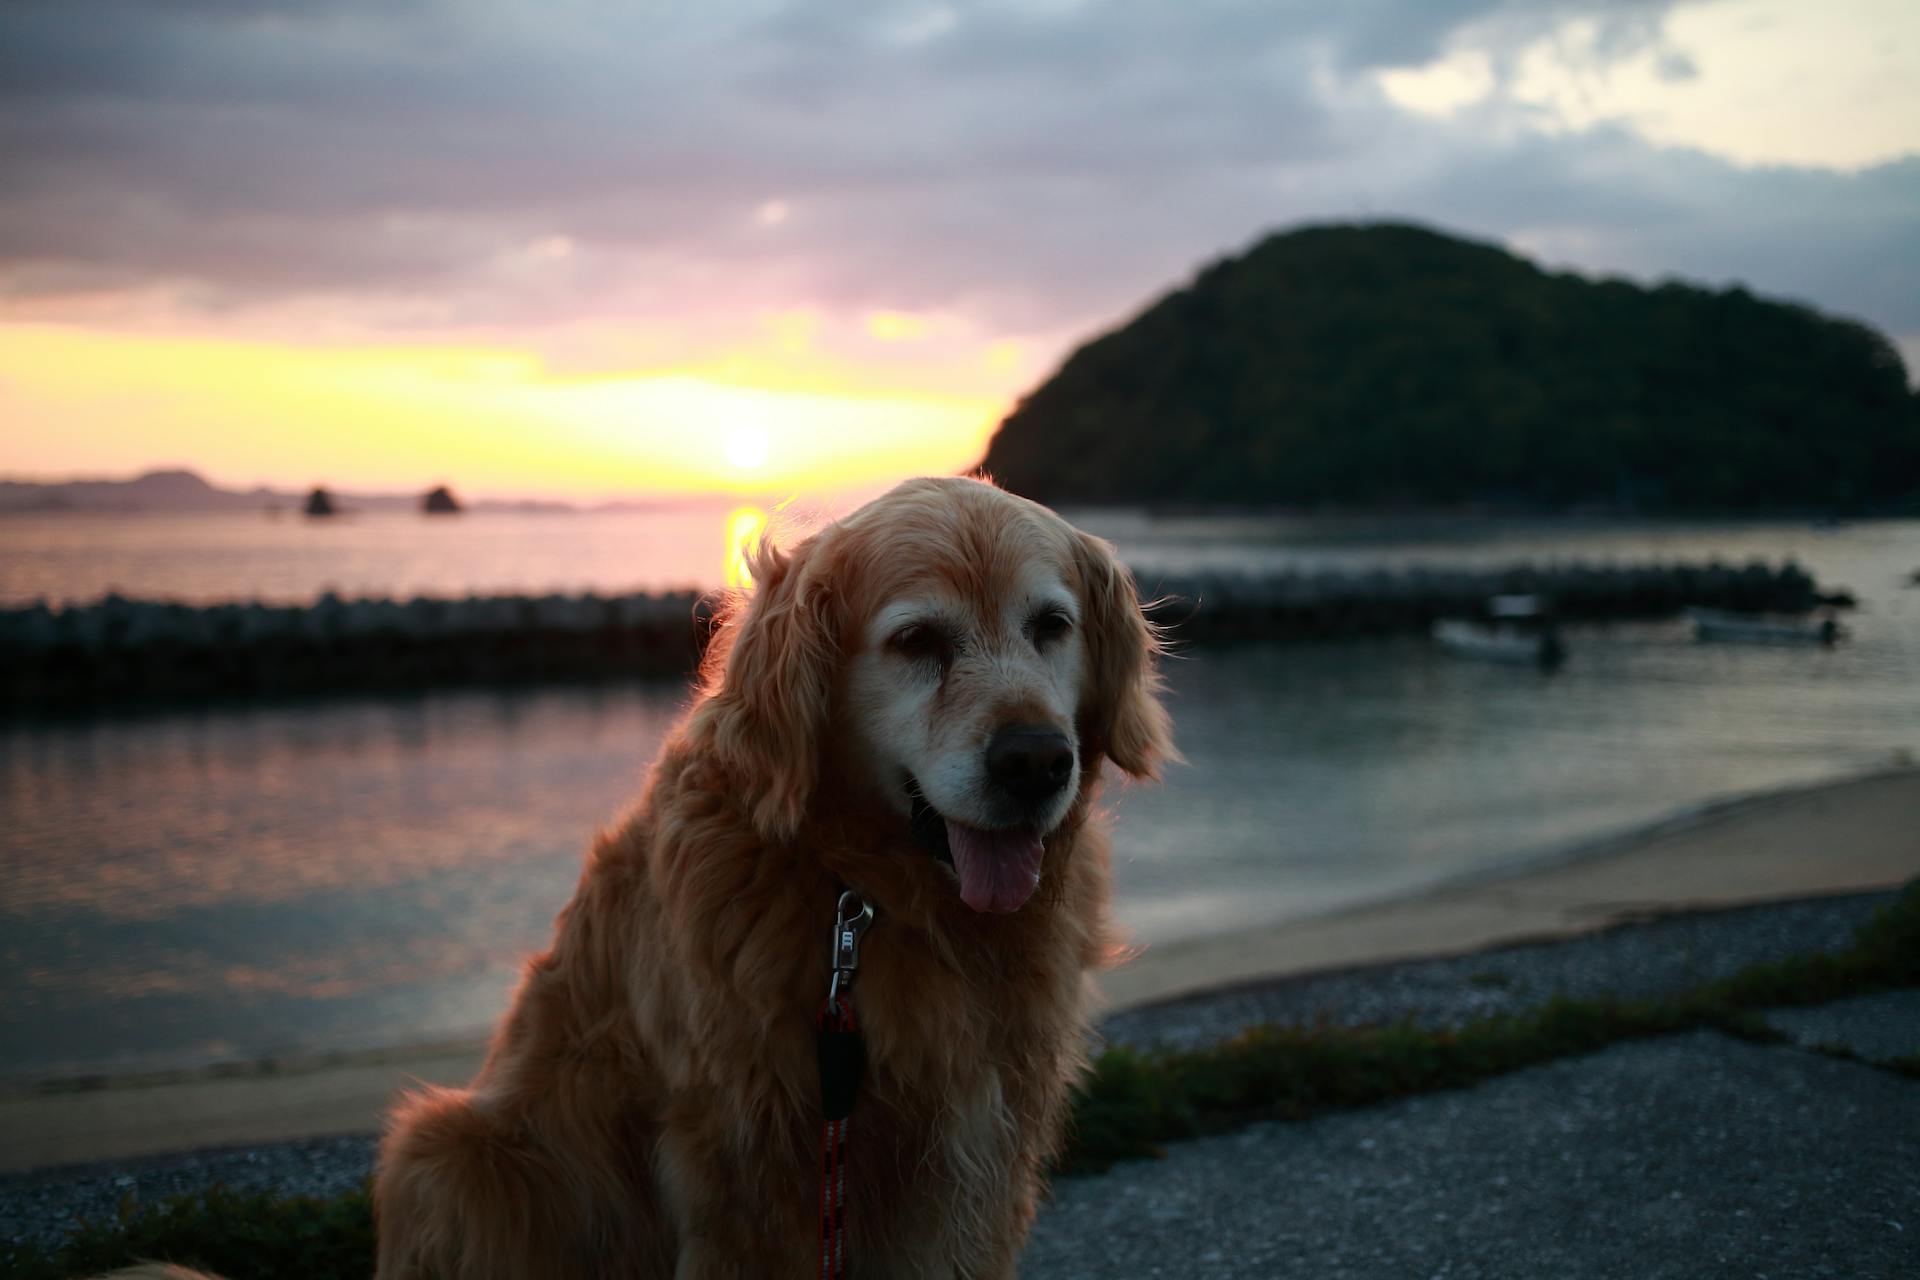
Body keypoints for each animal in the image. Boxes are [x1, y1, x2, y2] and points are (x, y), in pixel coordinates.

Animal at [120, 475, 1175, 1274]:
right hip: (450, 1153)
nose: (1037, 762)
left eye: (1051, 626)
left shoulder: (982, 1150)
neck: (868, 898)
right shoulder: (748, 1158)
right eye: (917, 641)